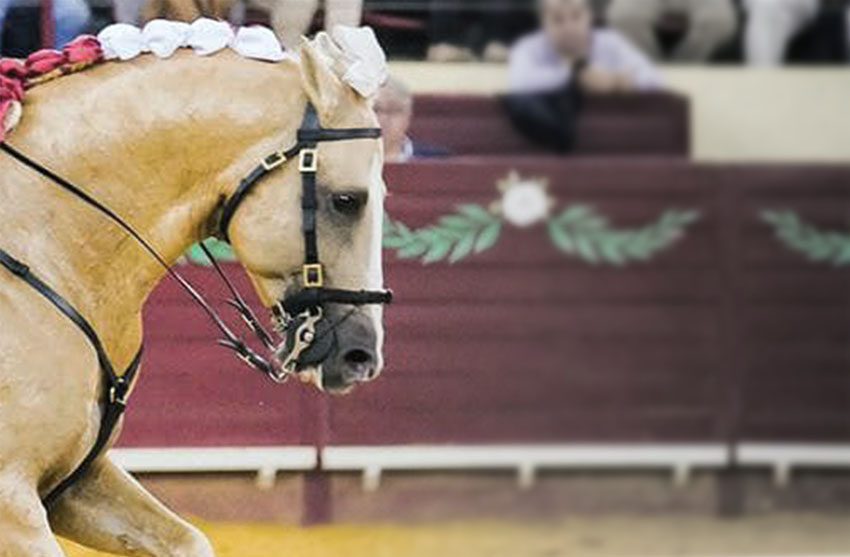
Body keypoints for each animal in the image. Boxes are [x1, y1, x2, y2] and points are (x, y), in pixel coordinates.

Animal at [0, 32, 388, 555]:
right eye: (347, 200)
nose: (361, 355)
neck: (42, 236)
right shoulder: (13, 504)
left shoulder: (78, 481)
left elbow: (190, 540)